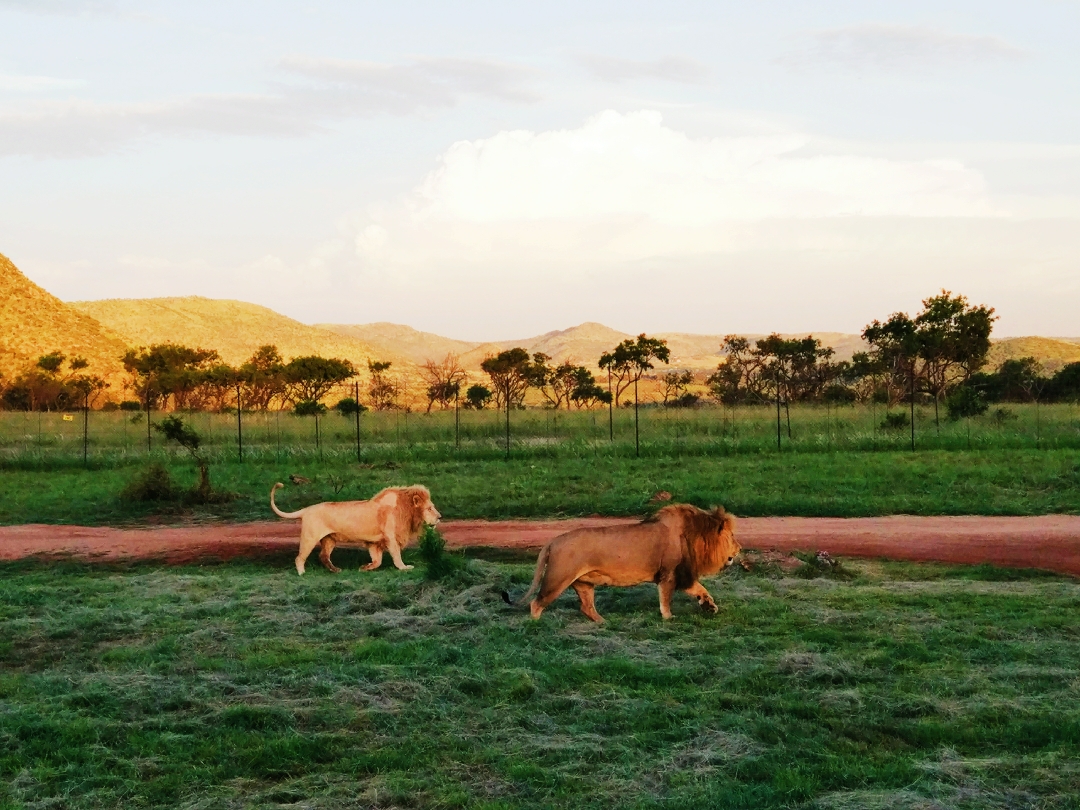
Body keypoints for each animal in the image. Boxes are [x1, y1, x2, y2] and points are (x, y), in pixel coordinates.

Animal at [270, 481, 438, 578]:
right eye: (430, 508)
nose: (439, 517)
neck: (407, 510)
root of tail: (306, 510)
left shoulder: (374, 543)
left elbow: (377, 561)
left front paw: (364, 568)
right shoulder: (391, 537)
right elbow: (396, 555)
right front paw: (404, 568)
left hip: (329, 540)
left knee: (323, 556)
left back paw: (335, 570)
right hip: (310, 537)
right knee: (300, 557)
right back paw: (302, 573)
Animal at [501, 505, 738, 626]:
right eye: (732, 536)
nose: (738, 550)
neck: (695, 534)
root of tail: (552, 541)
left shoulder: (682, 574)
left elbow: (701, 589)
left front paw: (710, 606)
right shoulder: (669, 574)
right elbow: (666, 598)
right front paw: (668, 617)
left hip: (583, 584)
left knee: (586, 607)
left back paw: (603, 622)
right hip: (557, 579)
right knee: (536, 603)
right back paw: (535, 625)